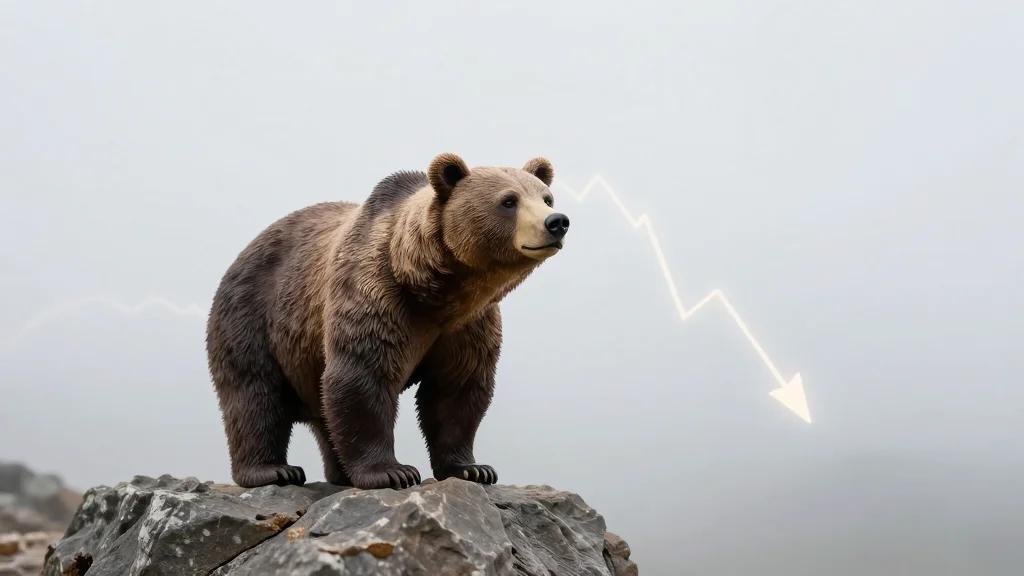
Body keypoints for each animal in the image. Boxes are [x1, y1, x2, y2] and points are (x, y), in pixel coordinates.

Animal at [206, 153, 569, 490]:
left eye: (546, 197)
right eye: (509, 200)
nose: (557, 222)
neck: (438, 292)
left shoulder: (469, 324)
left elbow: (457, 389)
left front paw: (473, 469)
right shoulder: (376, 294)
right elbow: (362, 375)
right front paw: (392, 472)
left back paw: (339, 473)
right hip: (253, 314)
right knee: (255, 393)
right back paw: (274, 470)